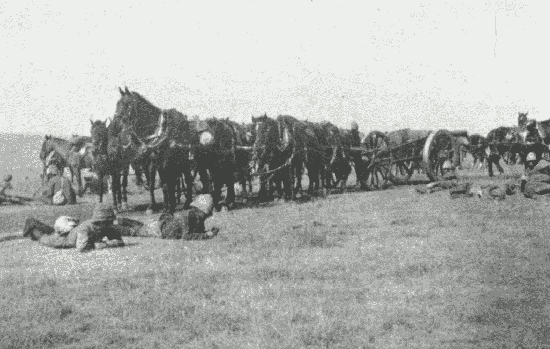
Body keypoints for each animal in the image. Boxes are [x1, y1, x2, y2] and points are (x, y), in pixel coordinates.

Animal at [112, 85, 194, 213]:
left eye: (127, 104)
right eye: (117, 104)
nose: (115, 125)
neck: (157, 130)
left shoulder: (164, 162)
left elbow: (167, 183)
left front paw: (170, 207)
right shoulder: (153, 162)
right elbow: (158, 184)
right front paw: (161, 206)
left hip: (183, 158)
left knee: (187, 178)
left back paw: (187, 202)